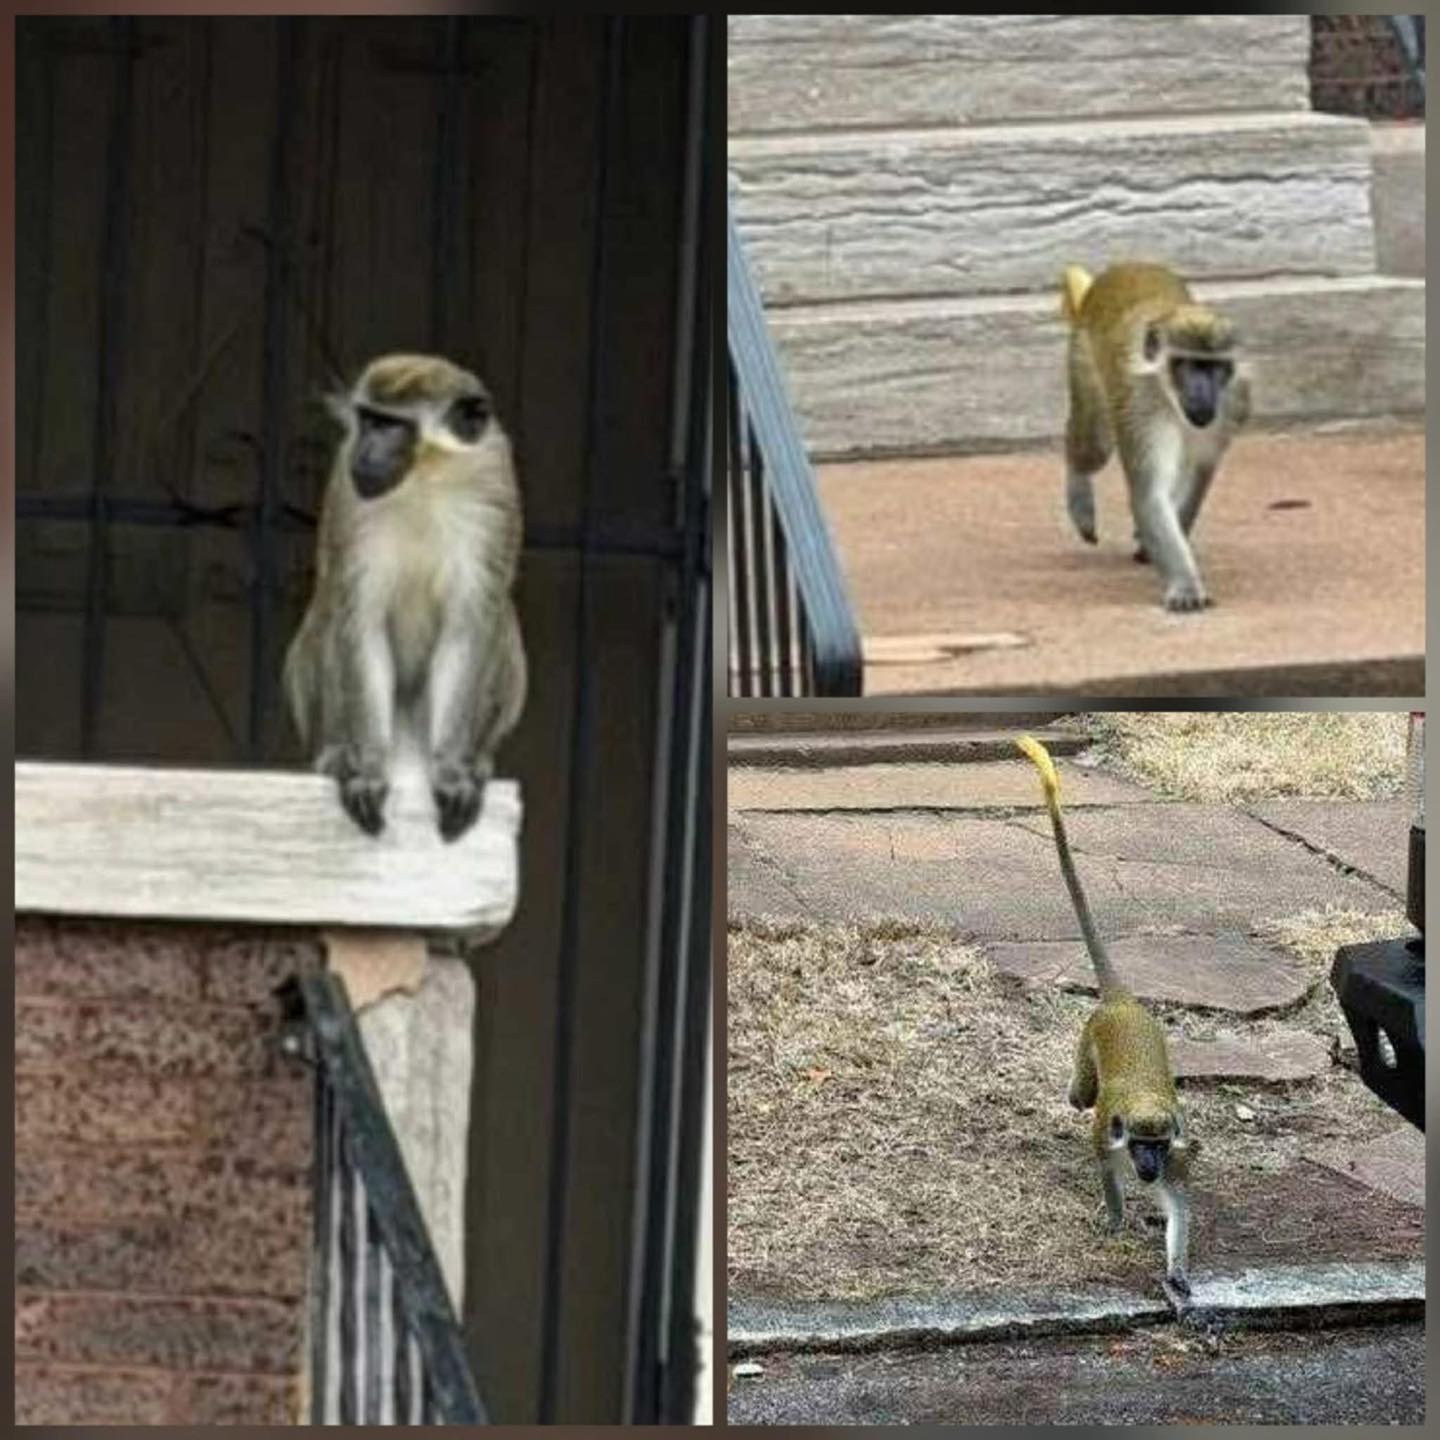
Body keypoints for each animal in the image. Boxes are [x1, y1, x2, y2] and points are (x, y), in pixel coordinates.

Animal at [283, 353, 526, 841]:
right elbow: (360, 622)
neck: (425, 479)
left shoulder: (494, 487)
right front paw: (368, 769)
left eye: (391, 425)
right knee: (330, 610)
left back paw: (477, 759)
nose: (364, 451)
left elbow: (469, 626)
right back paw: (339, 753)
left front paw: (451, 770)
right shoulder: (348, 492)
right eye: (367, 420)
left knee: (500, 617)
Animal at [1016, 734, 1193, 1296]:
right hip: (1088, 1043)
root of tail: (1122, 1002)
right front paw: (1115, 1218)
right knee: (1081, 1095)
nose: (1147, 1166)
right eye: (1139, 1143)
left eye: (1156, 1145)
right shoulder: (1107, 1138)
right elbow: (1107, 1171)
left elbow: (1177, 1204)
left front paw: (1177, 1271)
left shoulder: (1177, 1151)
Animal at [1060, 261, 1251, 612]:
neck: (1167, 393)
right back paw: (1079, 492)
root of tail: (1125, 265)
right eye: (1186, 365)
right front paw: (1184, 585)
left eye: (1214, 367)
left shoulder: (1233, 400)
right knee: (1093, 446)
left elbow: (1200, 474)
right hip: (1081, 356)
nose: (1202, 394)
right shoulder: (1140, 407)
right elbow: (1149, 493)